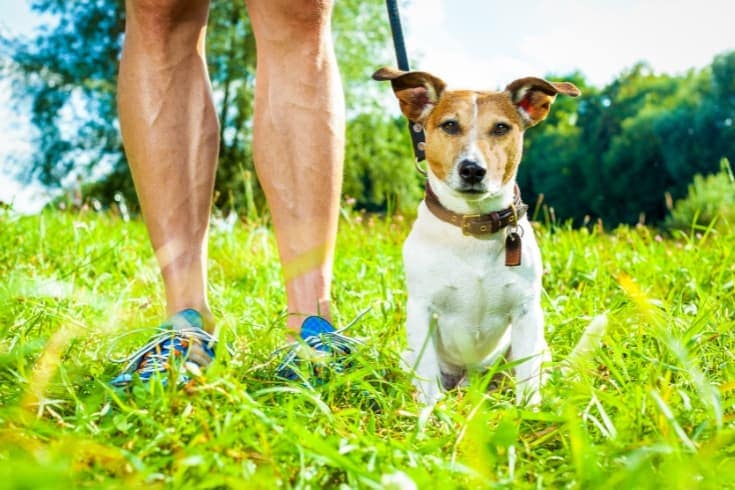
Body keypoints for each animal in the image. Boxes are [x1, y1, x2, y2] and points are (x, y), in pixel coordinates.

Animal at [374, 69, 580, 406]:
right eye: (449, 125)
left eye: (501, 127)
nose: (472, 170)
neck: (474, 226)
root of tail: (469, 380)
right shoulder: (421, 310)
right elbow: (428, 379)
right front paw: (431, 416)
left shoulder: (526, 312)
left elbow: (527, 380)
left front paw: (529, 411)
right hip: (410, 357)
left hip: (538, 350)